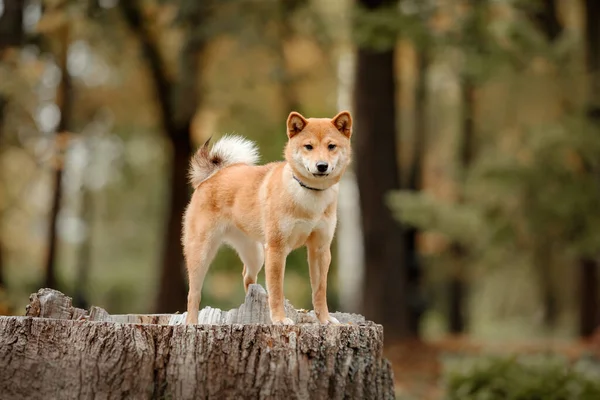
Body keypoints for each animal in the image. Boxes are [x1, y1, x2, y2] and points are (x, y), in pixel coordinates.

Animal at [183, 110, 352, 324]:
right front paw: (279, 319)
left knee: (247, 277)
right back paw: (192, 323)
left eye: (331, 146)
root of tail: (212, 176)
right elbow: (277, 289)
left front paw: (325, 320)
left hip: (255, 254)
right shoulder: (277, 248)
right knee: (193, 293)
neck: (309, 196)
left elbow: (320, 291)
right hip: (201, 252)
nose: (322, 166)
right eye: (308, 146)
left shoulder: (320, 249)